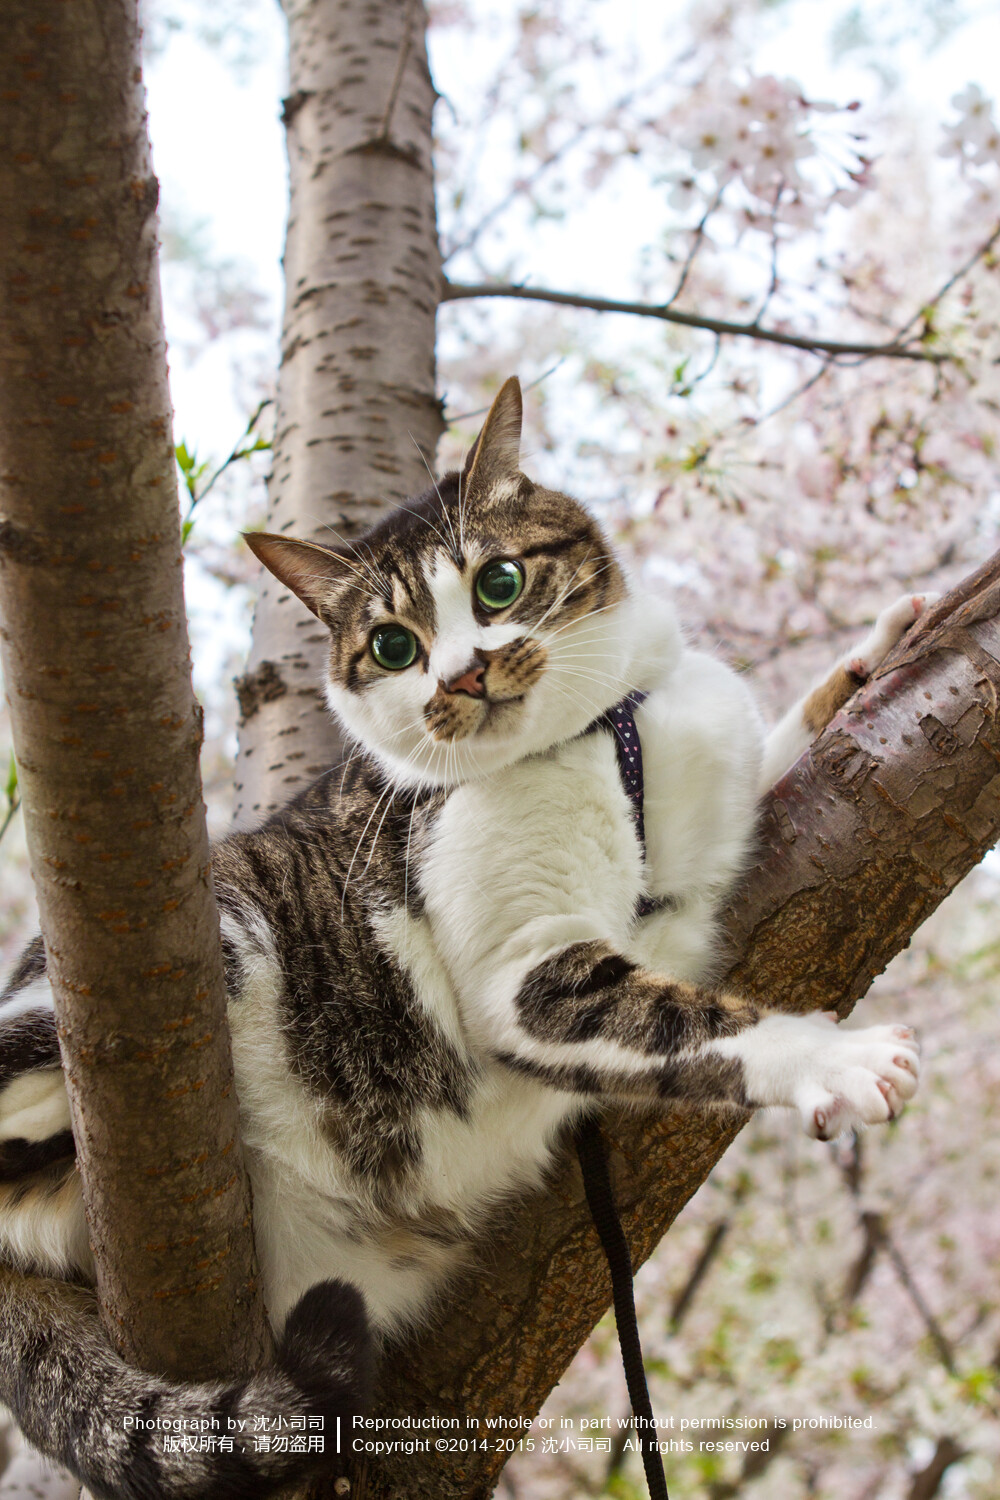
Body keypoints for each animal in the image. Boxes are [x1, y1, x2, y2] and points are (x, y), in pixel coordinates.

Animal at [0, 378, 923, 1500]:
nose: (464, 676)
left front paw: (875, 650)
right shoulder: (527, 973)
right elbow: (694, 1021)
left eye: (500, 583)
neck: (606, 741)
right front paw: (840, 1059)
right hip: (194, 946)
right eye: (393, 647)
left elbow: (787, 751)